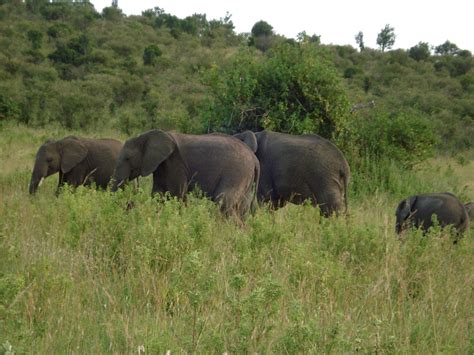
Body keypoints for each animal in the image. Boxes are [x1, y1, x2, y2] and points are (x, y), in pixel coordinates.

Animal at [110, 129, 260, 216]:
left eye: (128, 158)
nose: (129, 204)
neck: (146, 136)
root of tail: (254, 159)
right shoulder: (161, 165)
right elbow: (158, 193)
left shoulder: (175, 163)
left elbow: (176, 194)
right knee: (241, 208)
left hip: (237, 173)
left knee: (223, 202)